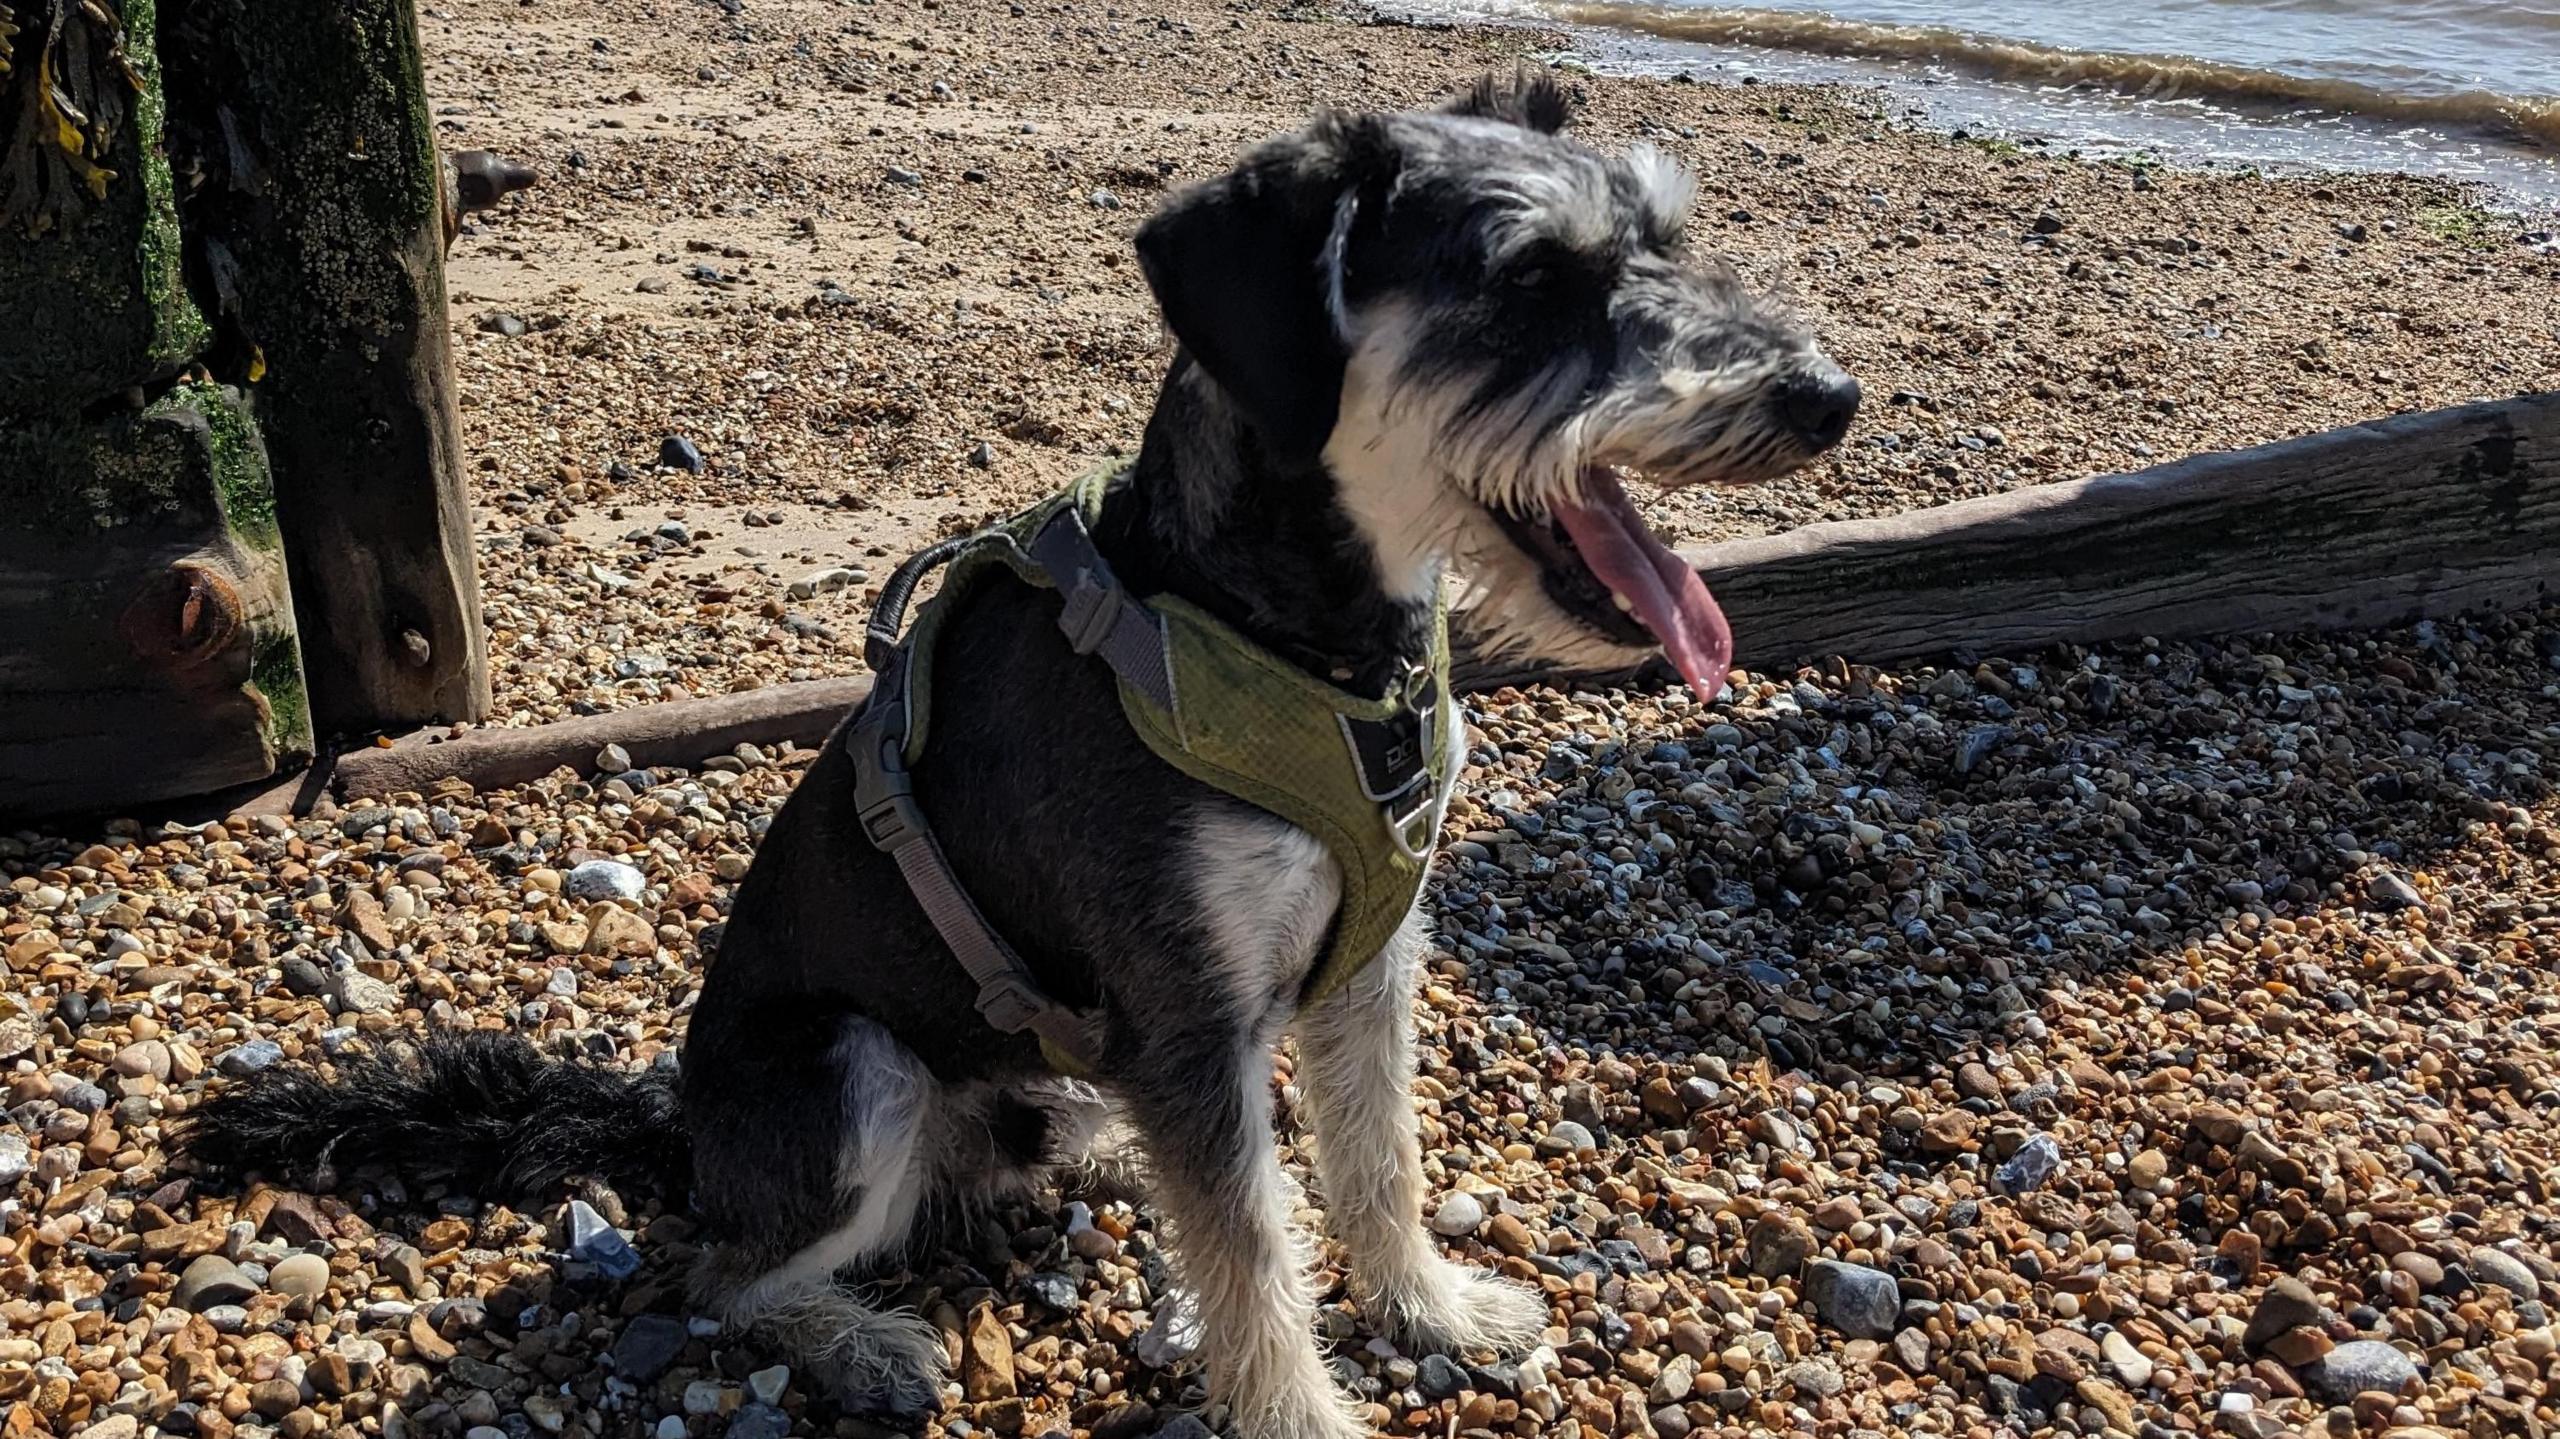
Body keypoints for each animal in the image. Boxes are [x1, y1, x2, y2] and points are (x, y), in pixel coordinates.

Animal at [185, 72, 1863, 1433]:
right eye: (1528, 280)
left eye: (1664, 237)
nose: (1829, 397)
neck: (1290, 629)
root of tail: (681, 1126)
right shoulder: (1189, 996)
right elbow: (1251, 1249)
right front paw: (1303, 1403)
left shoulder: (1369, 961)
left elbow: (1373, 1159)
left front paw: (1432, 1303)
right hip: (850, 1066)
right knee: (718, 1273)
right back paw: (860, 1337)